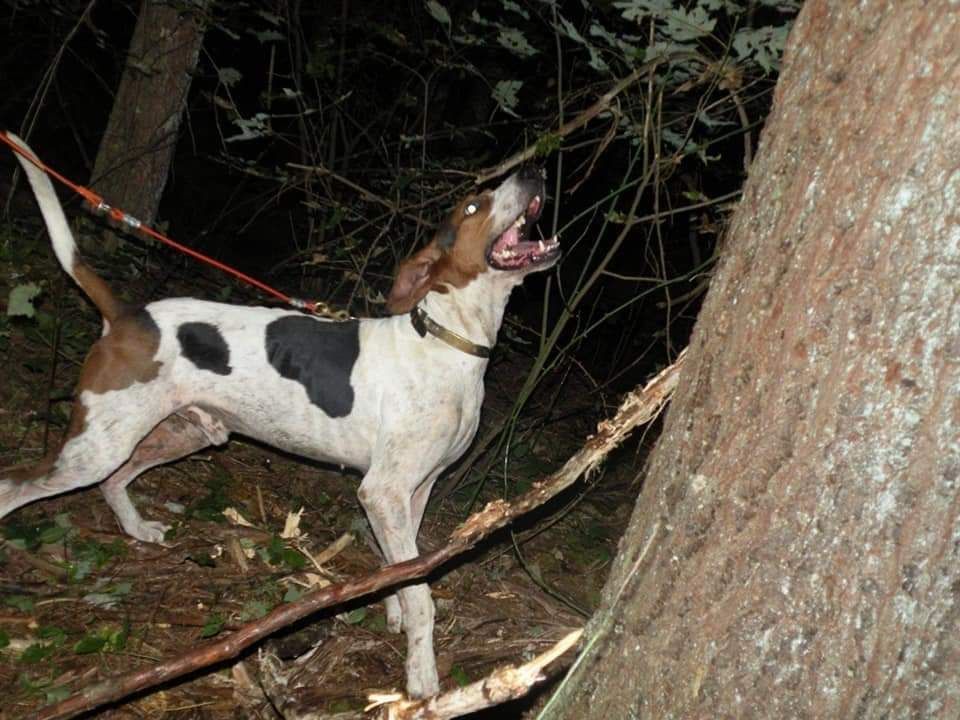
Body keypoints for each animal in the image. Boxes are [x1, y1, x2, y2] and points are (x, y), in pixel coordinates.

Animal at [0, 133, 560, 697]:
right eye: (472, 206)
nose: (535, 169)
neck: (448, 339)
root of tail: (127, 316)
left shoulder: (416, 489)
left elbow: (398, 570)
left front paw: (395, 615)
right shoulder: (383, 491)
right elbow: (421, 594)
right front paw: (422, 676)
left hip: (178, 433)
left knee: (115, 480)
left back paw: (138, 530)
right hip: (97, 446)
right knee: (16, 483)